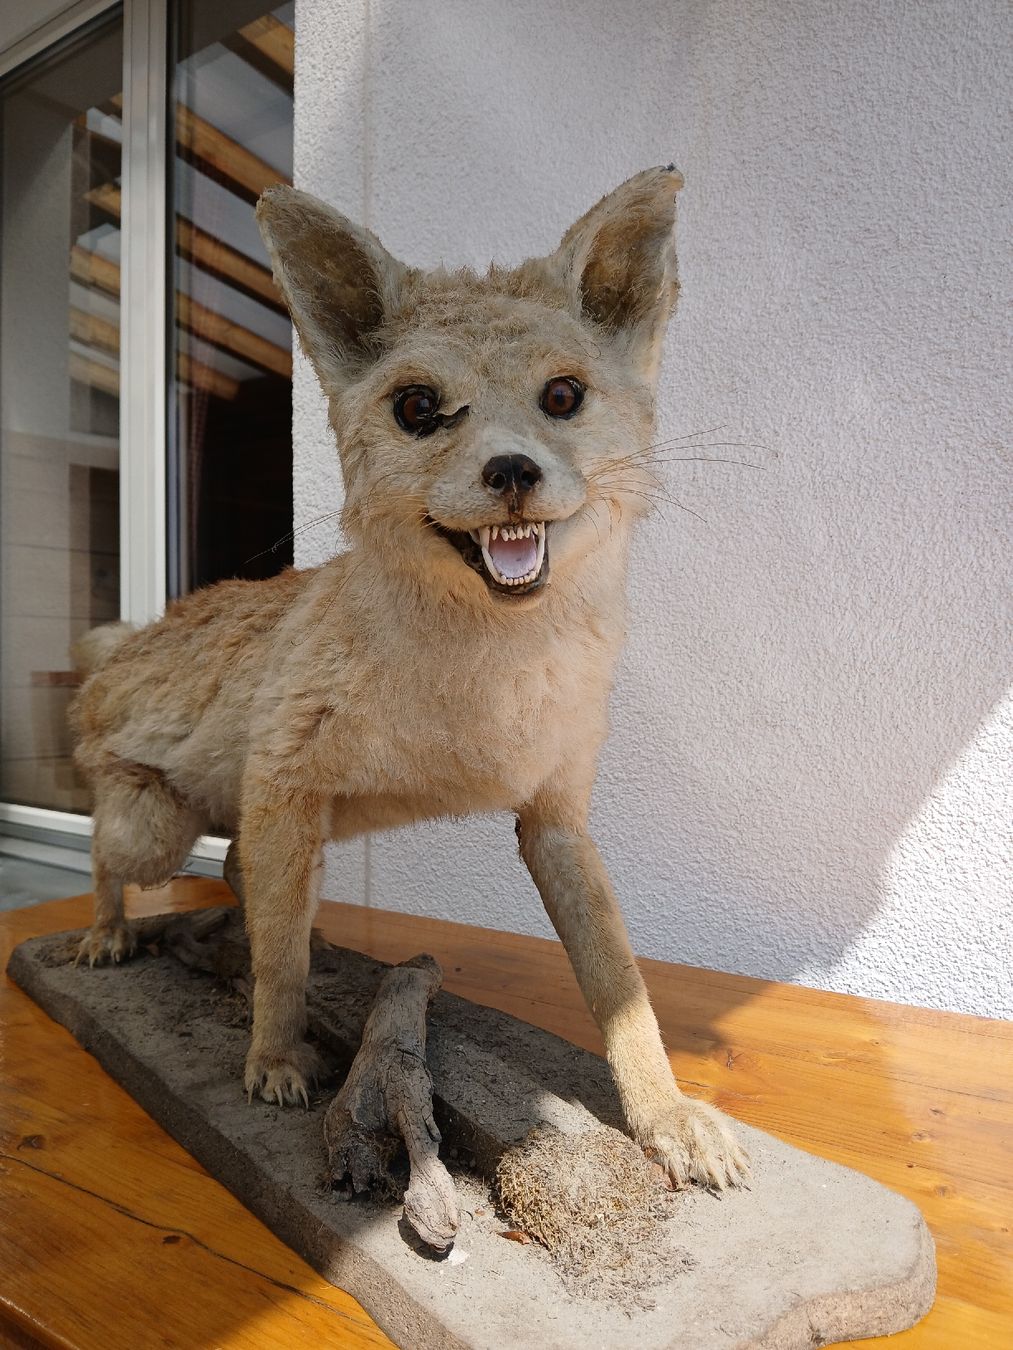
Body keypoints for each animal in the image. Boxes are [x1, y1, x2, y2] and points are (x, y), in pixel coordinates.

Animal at [70, 166, 748, 1190]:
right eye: (419, 409)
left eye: (562, 395)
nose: (510, 470)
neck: (479, 687)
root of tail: (123, 648)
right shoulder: (282, 785)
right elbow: (275, 970)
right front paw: (273, 1058)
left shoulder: (554, 817)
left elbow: (622, 986)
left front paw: (665, 1116)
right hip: (155, 830)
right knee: (113, 864)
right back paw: (109, 934)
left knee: (237, 875)